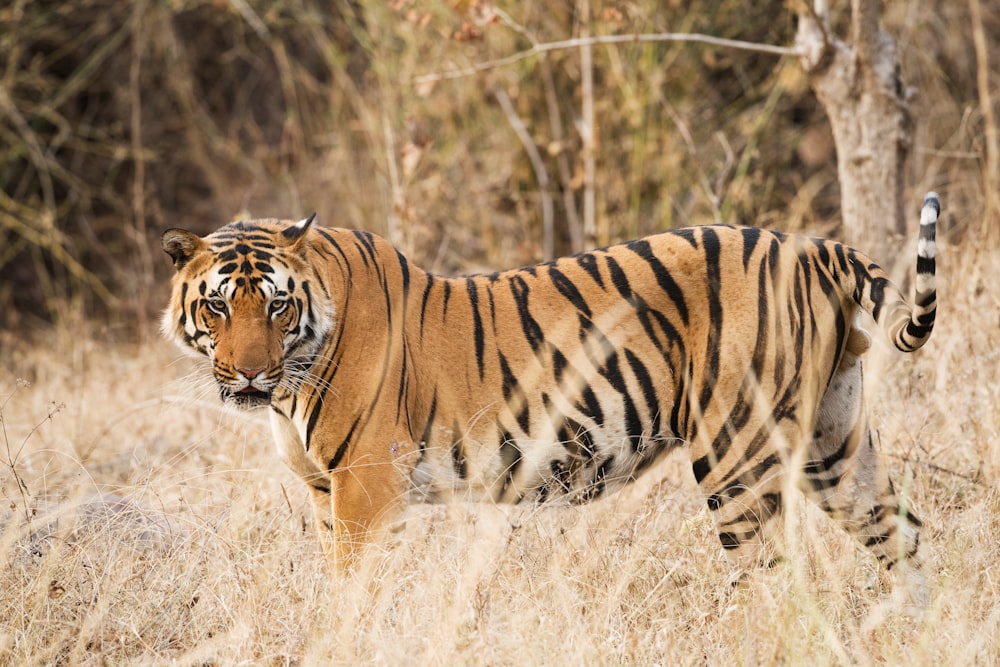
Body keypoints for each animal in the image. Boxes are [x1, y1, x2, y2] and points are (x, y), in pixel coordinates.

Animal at [156, 189, 936, 584]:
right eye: (218, 306)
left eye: (276, 307)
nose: (249, 372)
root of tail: (814, 247)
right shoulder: (325, 490)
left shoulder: (366, 485)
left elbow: (352, 593)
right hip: (835, 443)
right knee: (905, 537)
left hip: (737, 453)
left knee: (773, 580)